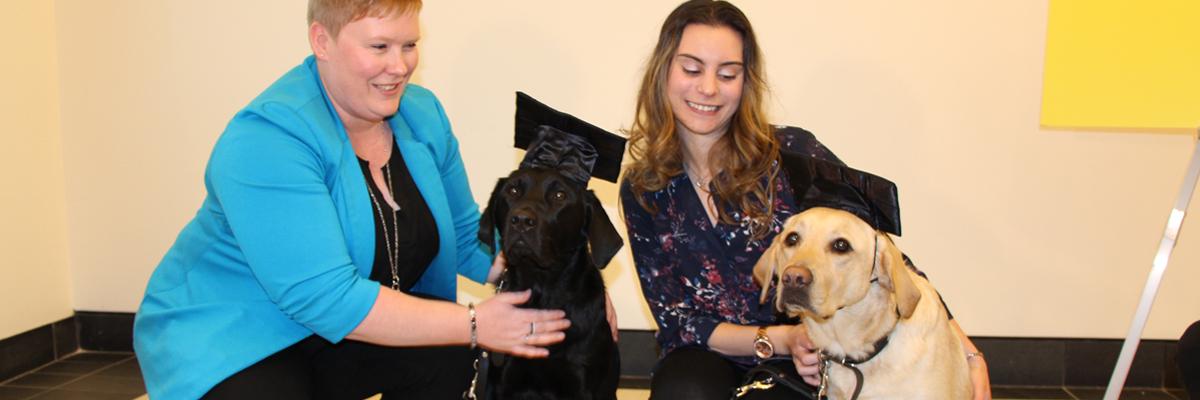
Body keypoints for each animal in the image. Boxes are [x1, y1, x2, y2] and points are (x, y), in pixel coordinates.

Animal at [477, 164, 624, 398]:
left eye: (559, 195)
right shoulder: (502, 383)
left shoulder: (580, 383)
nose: (521, 220)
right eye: (513, 191)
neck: (542, 291)